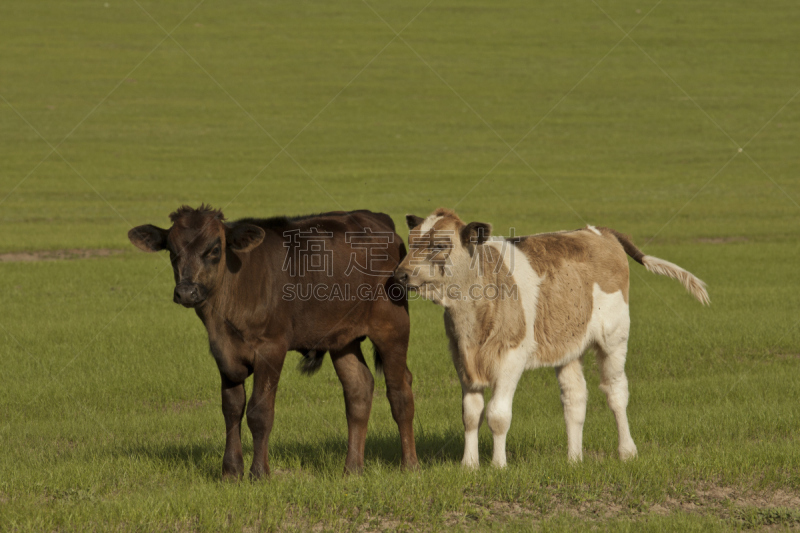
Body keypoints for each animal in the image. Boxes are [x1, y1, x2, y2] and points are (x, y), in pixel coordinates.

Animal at [394, 208, 708, 466]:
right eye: (411, 241)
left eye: (440, 244)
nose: (400, 275)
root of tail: (596, 231)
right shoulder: (462, 358)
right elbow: (471, 414)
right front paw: (469, 466)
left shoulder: (512, 357)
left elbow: (498, 415)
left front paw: (498, 466)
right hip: (569, 347)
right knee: (575, 399)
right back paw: (574, 459)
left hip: (614, 337)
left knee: (616, 392)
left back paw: (627, 451)